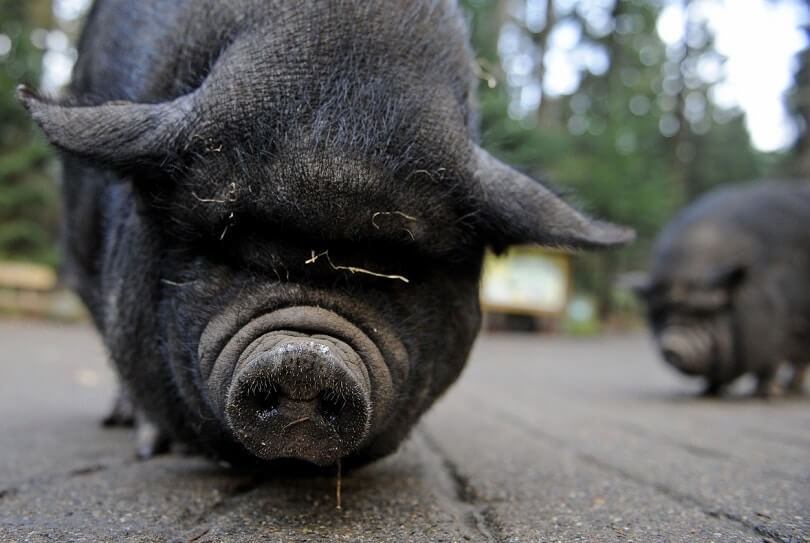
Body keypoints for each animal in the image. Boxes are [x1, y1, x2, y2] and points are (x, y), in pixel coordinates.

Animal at [636, 181, 810, 397]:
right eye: (662, 313)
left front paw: (769, 395)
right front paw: (707, 392)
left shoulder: (779, 333)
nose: (672, 347)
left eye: (704, 312)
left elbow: (770, 366)